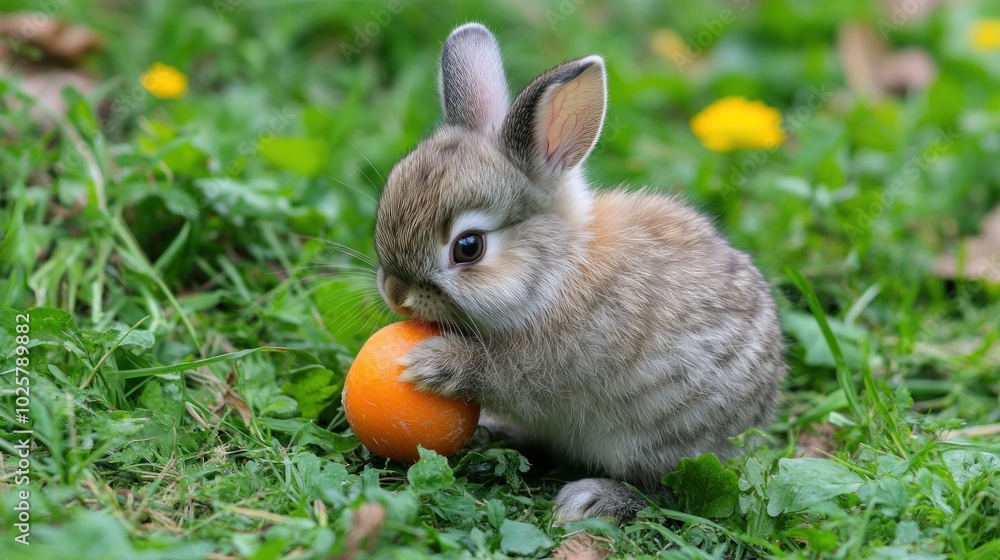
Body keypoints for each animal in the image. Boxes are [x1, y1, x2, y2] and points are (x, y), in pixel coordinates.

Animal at [373, 23, 786, 521]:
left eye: (467, 247)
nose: (397, 295)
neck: (555, 272)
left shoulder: (545, 366)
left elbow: (502, 373)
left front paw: (430, 364)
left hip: (658, 438)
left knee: (670, 490)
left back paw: (593, 499)